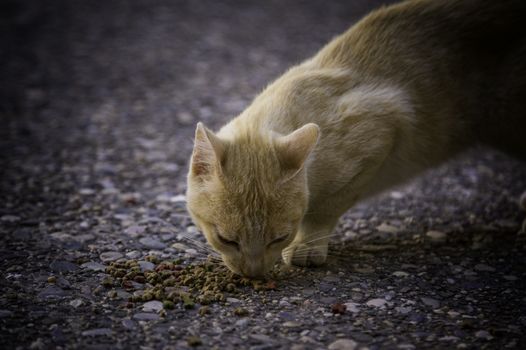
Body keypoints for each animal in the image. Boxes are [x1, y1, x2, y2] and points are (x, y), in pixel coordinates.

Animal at [186, 0, 526, 278]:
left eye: (279, 237)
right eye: (226, 239)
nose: (254, 274)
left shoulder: (383, 129)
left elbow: (324, 209)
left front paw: (307, 246)